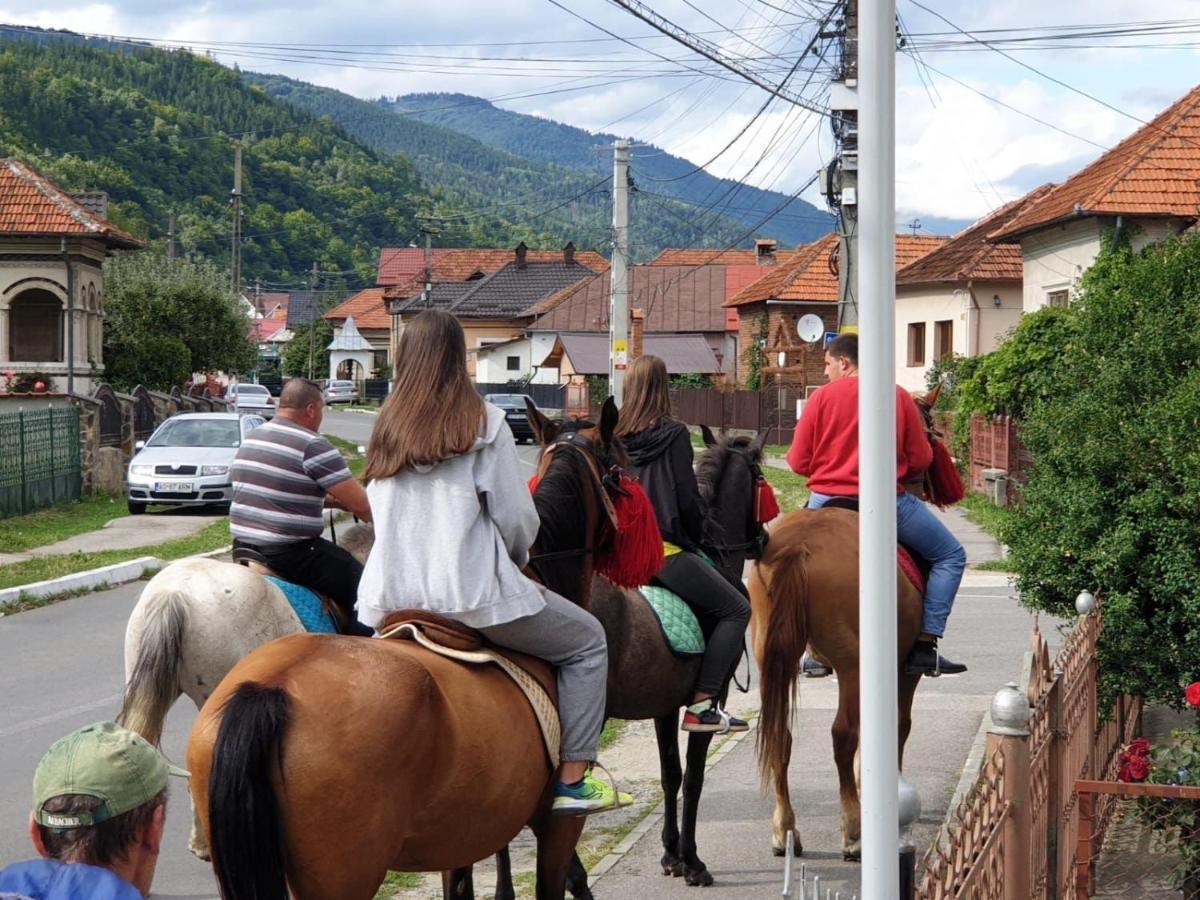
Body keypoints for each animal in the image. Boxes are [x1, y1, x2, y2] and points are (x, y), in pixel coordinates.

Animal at [748, 511, 926, 864]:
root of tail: (799, 545)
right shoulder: (904, 670)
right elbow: (900, 725)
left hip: (771, 658)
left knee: (781, 737)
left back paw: (785, 829)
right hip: (851, 665)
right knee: (843, 735)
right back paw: (853, 833)